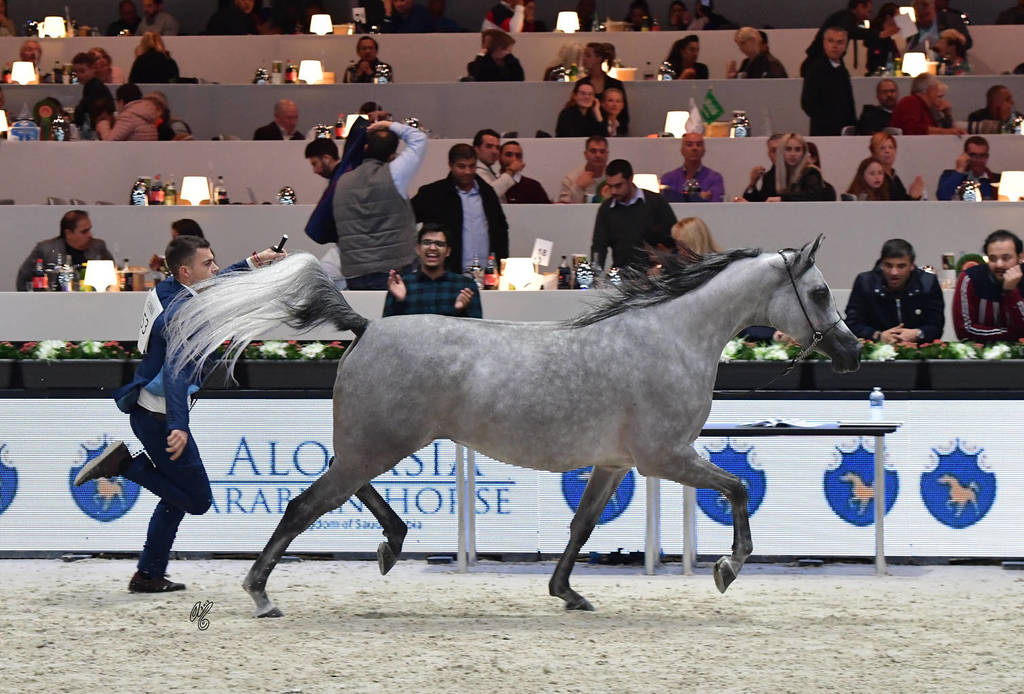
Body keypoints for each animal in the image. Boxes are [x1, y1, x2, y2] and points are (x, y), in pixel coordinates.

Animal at [165, 235, 861, 618]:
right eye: (821, 293)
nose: (853, 352)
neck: (673, 336)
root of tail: (367, 327)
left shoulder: (615, 464)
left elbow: (582, 526)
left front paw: (567, 593)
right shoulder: (666, 457)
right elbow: (738, 491)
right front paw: (727, 568)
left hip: (374, 445)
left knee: (344, 492)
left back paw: (392, 544)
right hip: (378, 445)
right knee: (305, 505)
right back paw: (261, 593)